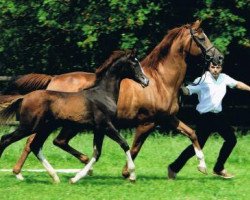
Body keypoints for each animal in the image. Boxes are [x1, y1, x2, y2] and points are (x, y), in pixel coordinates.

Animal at [0, 48, 148, 183]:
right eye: (135, 64)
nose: (146, 81)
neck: (103, 94)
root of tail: (24, 97)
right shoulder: (106, 125)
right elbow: (124, 144)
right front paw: (132, 175)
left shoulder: (98, 129)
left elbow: (97, 153)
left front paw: (75, 178)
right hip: (29, 126)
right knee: (6, 139)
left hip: (45, 128)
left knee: (35, 146)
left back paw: (55, 177)